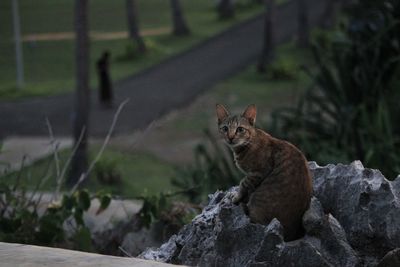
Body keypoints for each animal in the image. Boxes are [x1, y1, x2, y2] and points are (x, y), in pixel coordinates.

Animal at [216, 103, 312, 242]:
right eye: (225, 128)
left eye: (240, 129)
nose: (231, 137)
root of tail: (291, 235)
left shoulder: (259, 171)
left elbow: (243, 183)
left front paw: (236, 196)